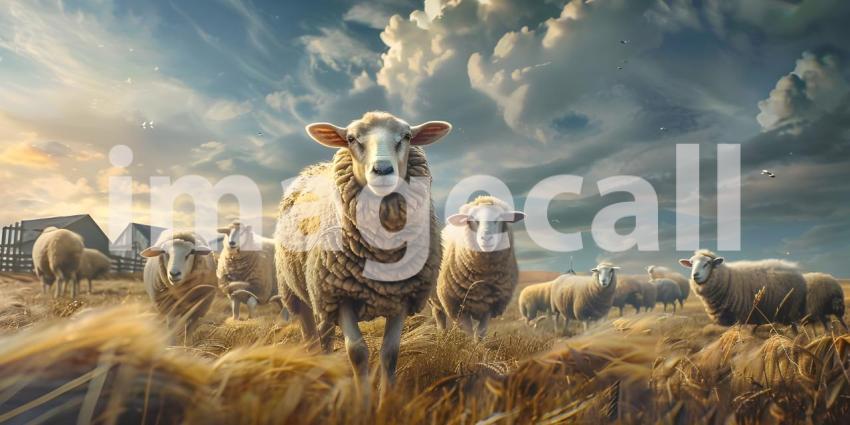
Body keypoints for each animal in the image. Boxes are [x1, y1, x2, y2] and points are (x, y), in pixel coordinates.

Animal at [274, 111, 451, 395]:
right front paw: (363, 400)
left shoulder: (402, 295)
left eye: (407, 136)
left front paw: (387, 399)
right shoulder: (340, 295)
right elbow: (357, 352)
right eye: (351, 138)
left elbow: (390, 353)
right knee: (311, 337)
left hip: (320, 294)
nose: (383, 171)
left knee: (325, 334)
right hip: (297, 293)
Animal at [431, 196, 525, 340]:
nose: (486, 238)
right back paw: (442, 335)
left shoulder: (489, 306)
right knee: (439, 316)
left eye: (499, 218)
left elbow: (480, 334)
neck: (482, 276)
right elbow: (469, 334)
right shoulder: (457, 306)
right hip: (436, 298)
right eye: (473, 220)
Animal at [678, 250, 806, 327]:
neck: (728, 279)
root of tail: (795, 268)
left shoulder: (742, 317)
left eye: (707, 264)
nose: (695, 275)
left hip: (792, 310)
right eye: (691, 264)